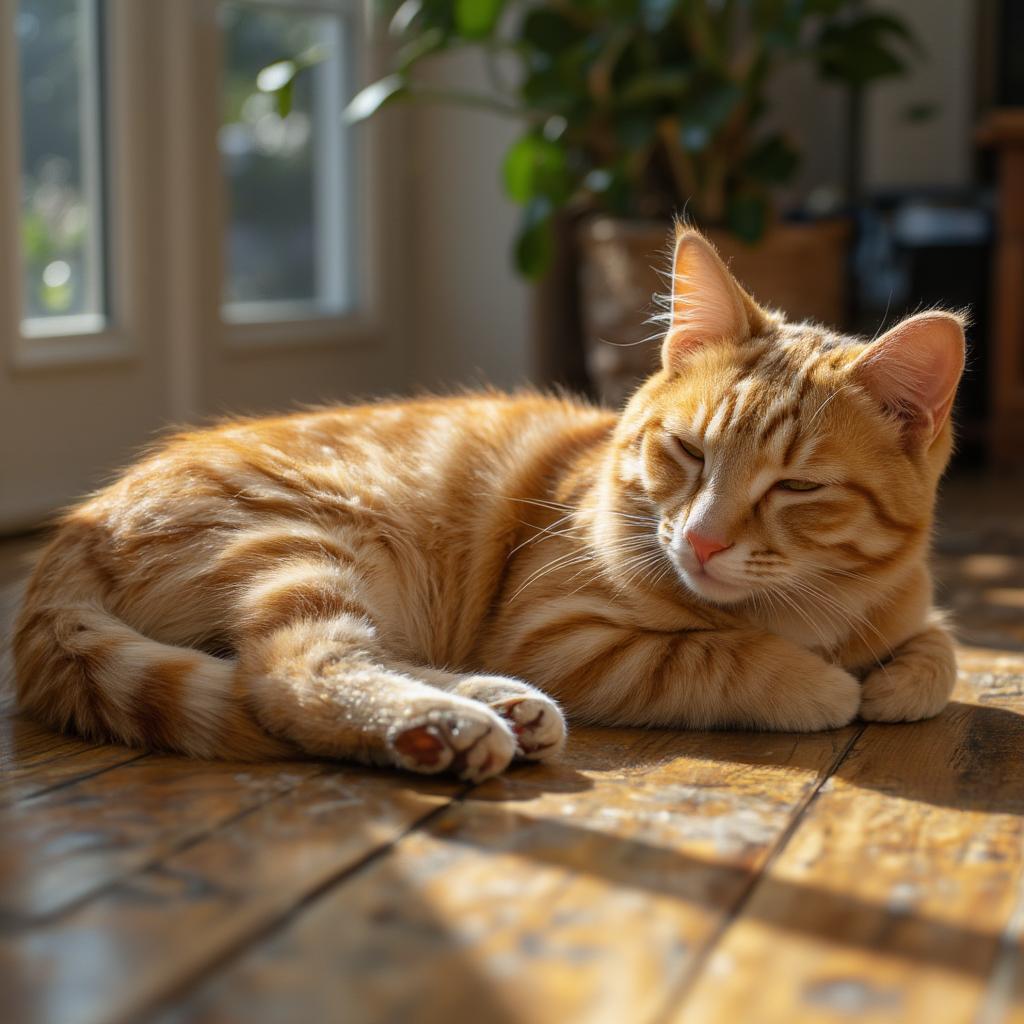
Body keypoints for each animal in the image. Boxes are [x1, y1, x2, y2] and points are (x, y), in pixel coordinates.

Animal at [12, 228, 962, 778]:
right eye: (688, 452)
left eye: (797, 487)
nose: (700, 542)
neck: (810, 604)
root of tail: (76, 532)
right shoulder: (561, 633)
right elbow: (720, 657)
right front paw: (823, 683)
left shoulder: (909, 601)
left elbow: (941, 649)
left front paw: (898, 676)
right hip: (305, 544)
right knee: (287, 674)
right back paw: (440, 726)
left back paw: (497, 708)